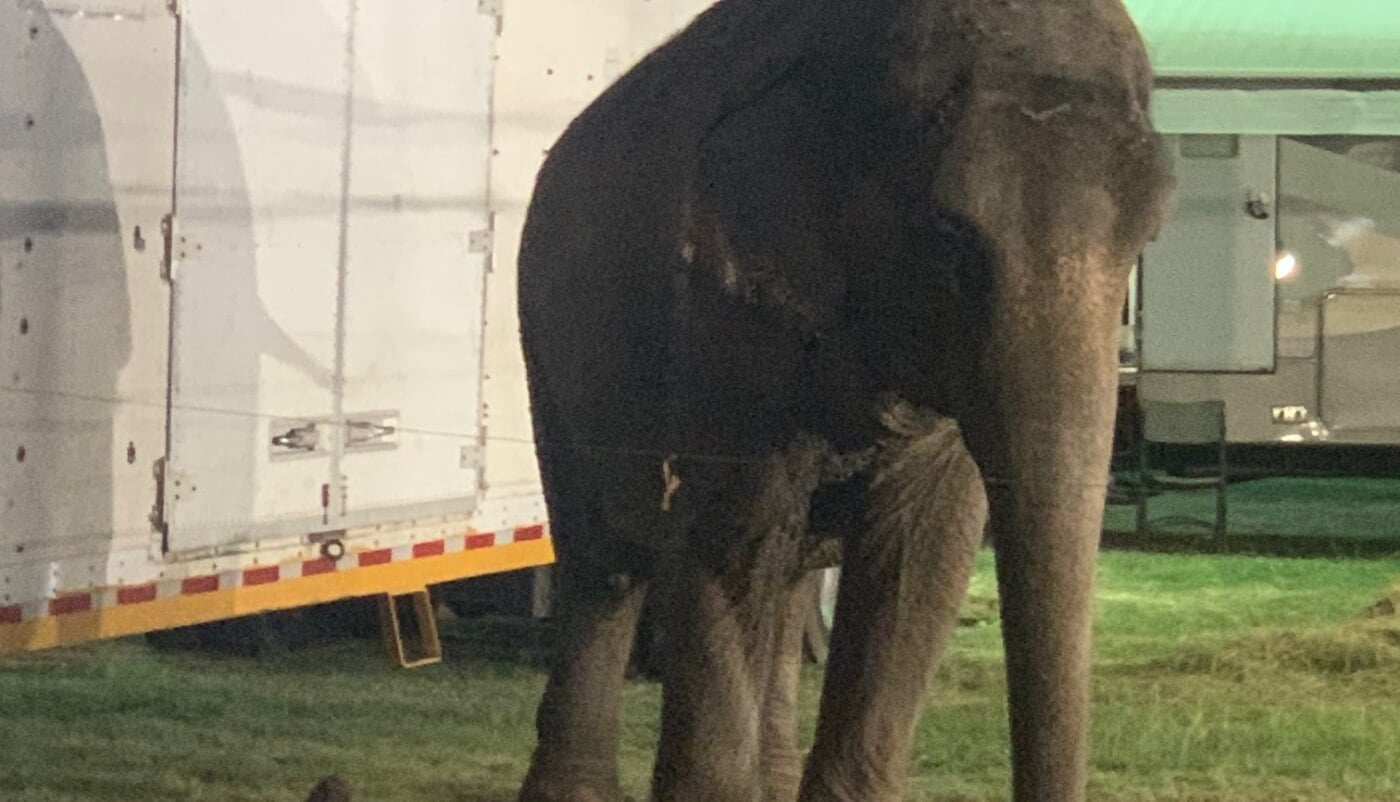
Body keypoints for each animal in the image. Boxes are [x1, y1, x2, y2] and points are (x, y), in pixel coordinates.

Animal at [514, 0, 1174, 801]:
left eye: (1149, 234)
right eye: (946, 238)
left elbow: (921, 556)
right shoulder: (719, 322)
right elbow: (729, 545)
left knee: (788, 576)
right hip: (545, 346)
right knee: (601, 561)